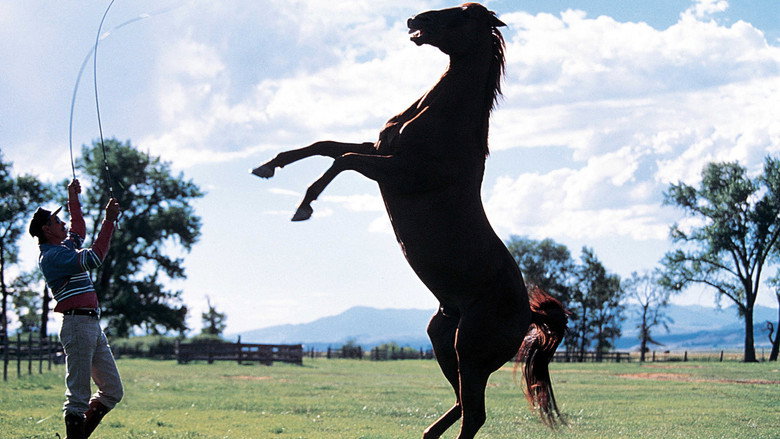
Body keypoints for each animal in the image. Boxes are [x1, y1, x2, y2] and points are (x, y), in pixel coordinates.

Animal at [252, 3, 568, 438]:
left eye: (461, 15)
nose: (414, 19)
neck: (442, 122)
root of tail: (528, 314)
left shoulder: (397, 171)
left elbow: (342, 160)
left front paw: (304, 207)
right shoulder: (378, 150)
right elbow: (325, 146)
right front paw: (267, 166)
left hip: (470, 351)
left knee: (475, 414)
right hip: (443, 340)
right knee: (462, 405)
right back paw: (427, 433)